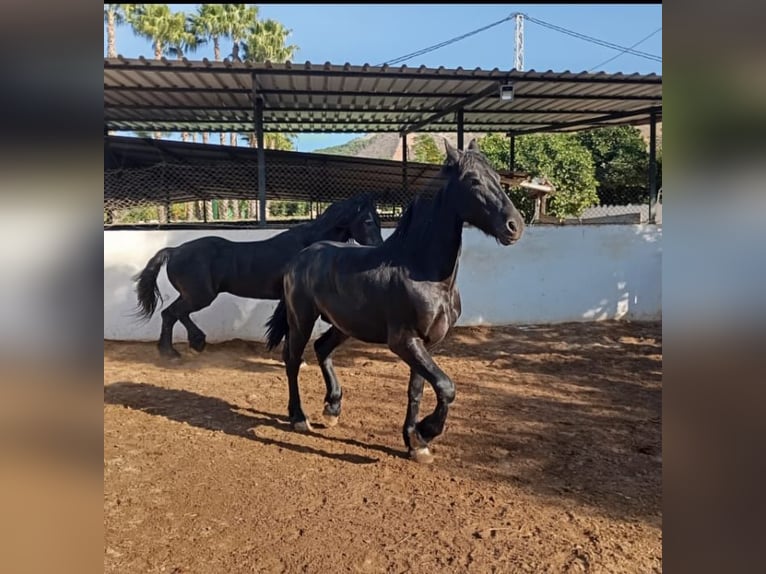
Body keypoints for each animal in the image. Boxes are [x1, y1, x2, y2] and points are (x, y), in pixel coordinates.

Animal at [133, 193, 383, 358]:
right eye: (368, 221)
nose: (378, 248)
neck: (307, 246)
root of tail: (174, 251)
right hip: (199, 296)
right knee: (175, 313)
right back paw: (186, 346)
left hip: (191, 295)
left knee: (170, 314)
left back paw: (174, 350)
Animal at [264, 139, 525, 464]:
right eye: (473, 180)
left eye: (498, 178)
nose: (515, 226)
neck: (422, 271)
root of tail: (298, 258)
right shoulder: (404, 341)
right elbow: (446, 386)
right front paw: (425, 431)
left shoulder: (426, 343)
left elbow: (418, 389)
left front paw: (415, 443)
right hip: (301, 319)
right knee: (292, 359)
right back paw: (299, 418)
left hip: (344, 325)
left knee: (322, 348)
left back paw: (332, 409)